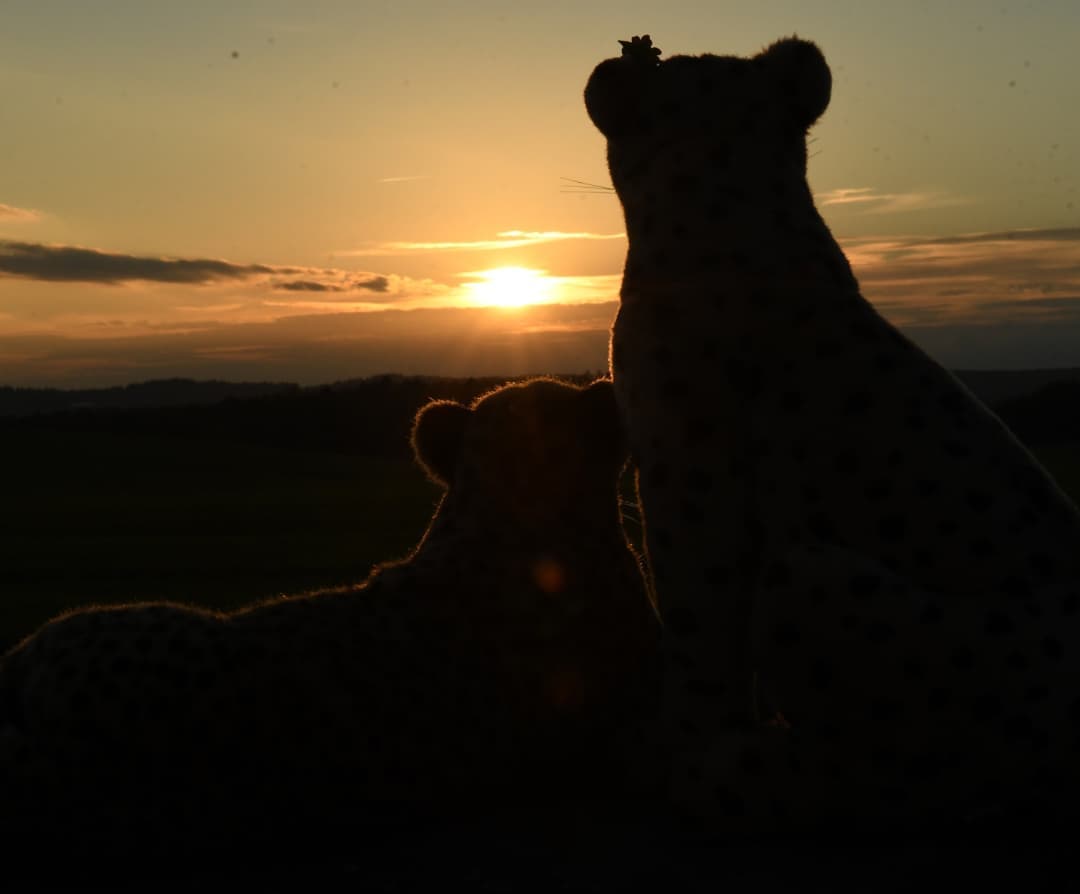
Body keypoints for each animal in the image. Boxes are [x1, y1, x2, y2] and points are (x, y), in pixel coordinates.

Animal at [591, 36, 1080, 829]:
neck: (734, 209)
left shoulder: (691, 484)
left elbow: (696, 632)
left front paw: (685, 756)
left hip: (813, 580)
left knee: (917, 782)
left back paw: (750, 770)